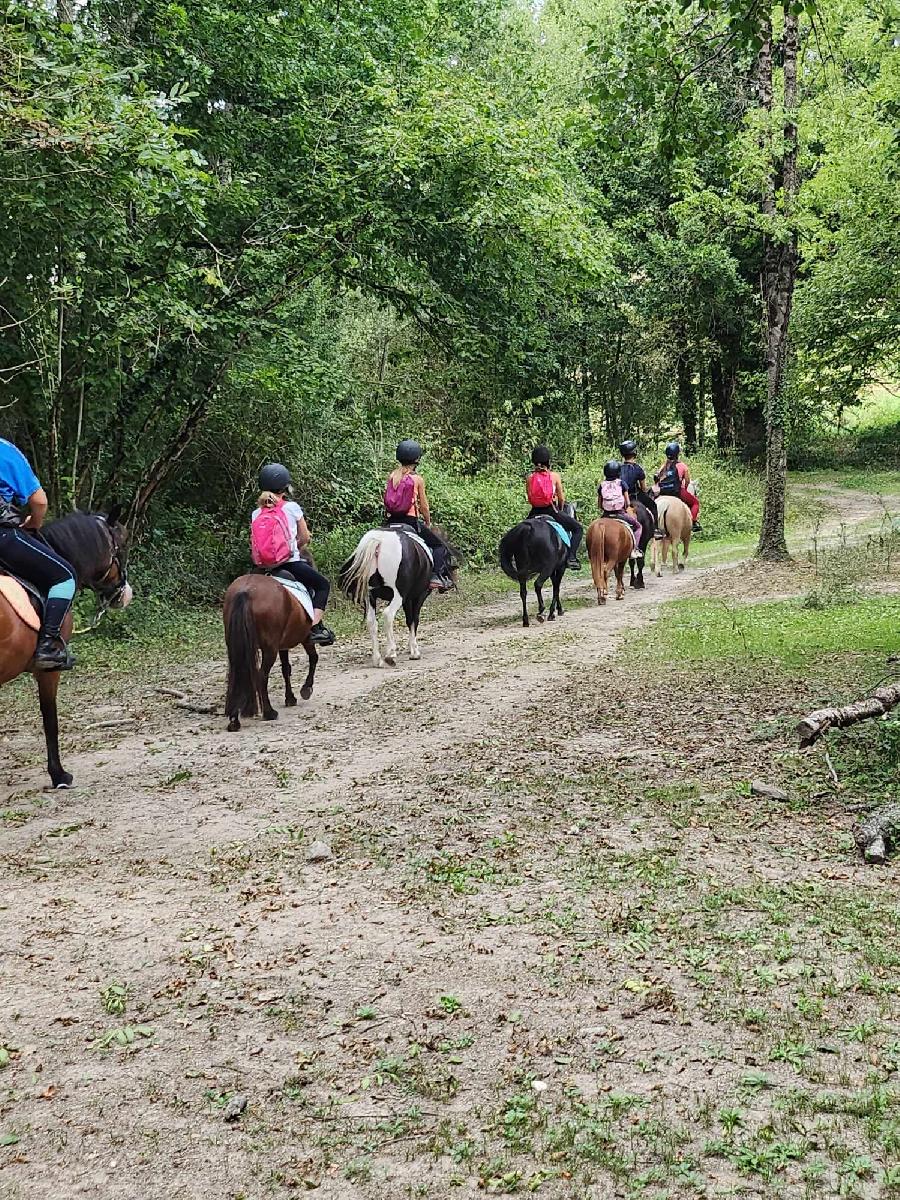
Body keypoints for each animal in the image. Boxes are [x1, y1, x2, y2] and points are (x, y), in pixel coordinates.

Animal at [223, 571, 319, 729]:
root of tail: (246, 590)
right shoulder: (305, 638)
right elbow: (313, 658)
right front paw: (306, 689)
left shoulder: (282, 645)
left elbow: (286, 669)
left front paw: (290, 698)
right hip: (270, 649)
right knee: (261, 676)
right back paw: (269, 712)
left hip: (237, 646)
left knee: (238, 674)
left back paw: (234, 719)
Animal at [340, 528, 434, 672]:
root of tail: (379, 541)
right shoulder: (418, 596)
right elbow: (414, 620)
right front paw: (414, 651)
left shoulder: (406, 599)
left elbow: (409, 620)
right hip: (399, 594)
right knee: (388, 614)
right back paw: (390, 654)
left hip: (370, 595)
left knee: (371, 621)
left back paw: (377, 659)